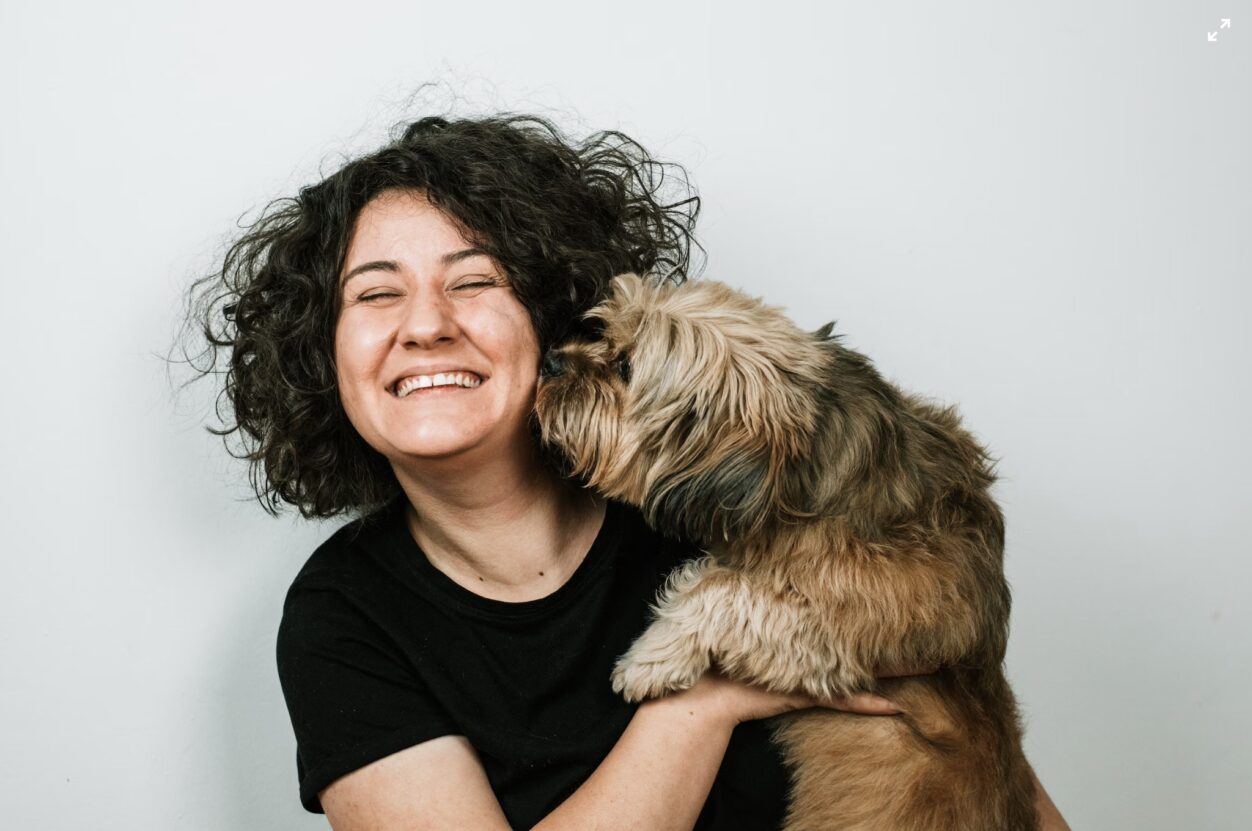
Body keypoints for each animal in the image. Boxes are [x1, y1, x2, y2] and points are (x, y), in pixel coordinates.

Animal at [535, 274, 1036, 830]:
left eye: (625, 367)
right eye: (602, 332)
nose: (551, 360)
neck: (801, 474)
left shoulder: (861, 619)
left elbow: (724, 590)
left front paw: (650, 658)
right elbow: (713, 578)